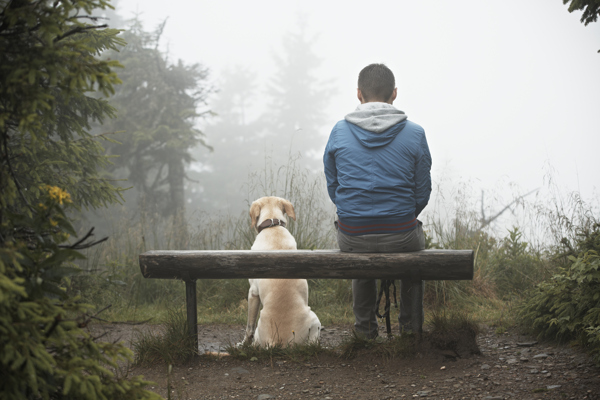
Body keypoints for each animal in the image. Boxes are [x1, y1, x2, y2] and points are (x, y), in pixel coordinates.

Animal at [240, 195, 322, 346]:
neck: (273, 227)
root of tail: (277, 342)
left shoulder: (253, 292)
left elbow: (249, 326)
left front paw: (243, 344)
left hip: (314, 318)